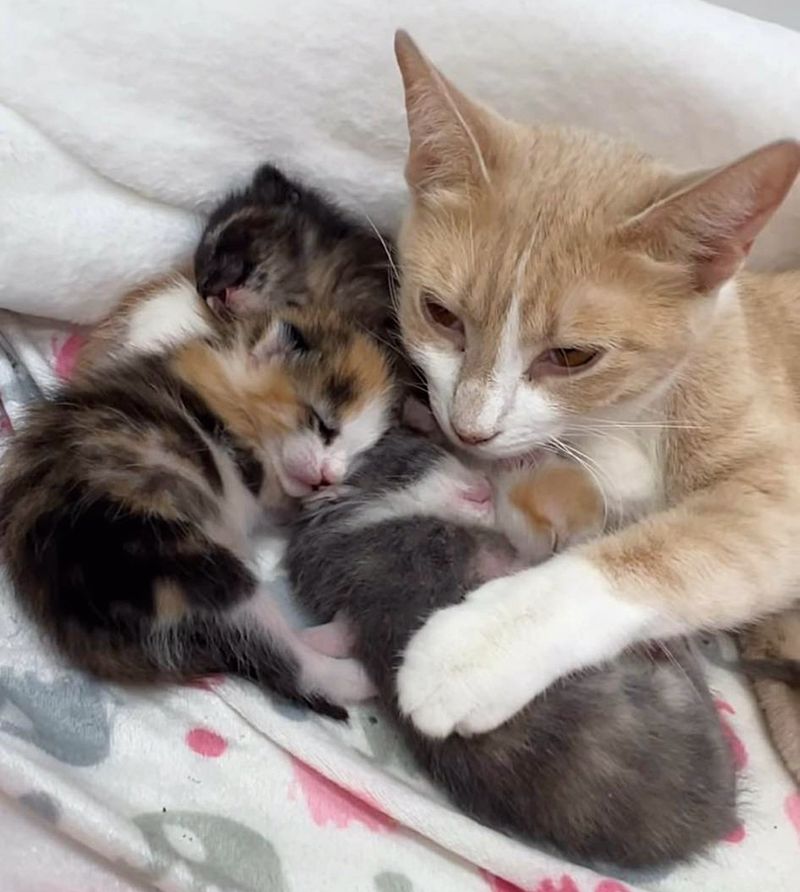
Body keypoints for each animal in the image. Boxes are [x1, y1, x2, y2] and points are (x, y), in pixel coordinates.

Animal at [0, 286, 394, 716]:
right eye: (324, 424)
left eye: (356, 454)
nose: (328, 476)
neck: (229, 377)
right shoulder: (245, 460)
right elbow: (276, 493)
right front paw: (327, 496)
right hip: (187, 561)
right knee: (280, 658)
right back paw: (355, 672)